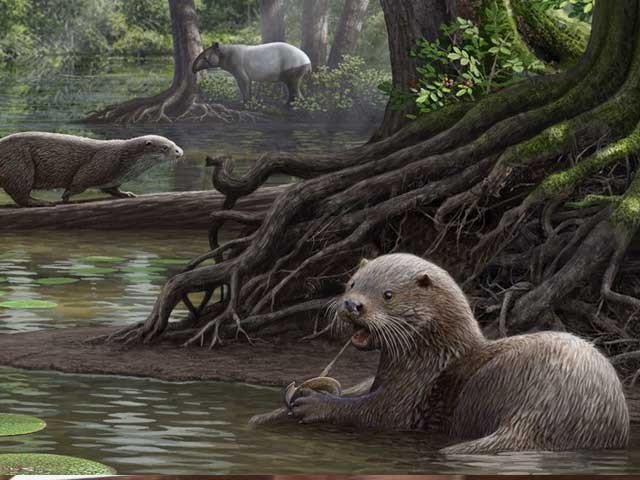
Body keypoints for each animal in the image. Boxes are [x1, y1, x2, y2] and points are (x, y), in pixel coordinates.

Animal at [0, 132, 184, 207]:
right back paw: (42, 202)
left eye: (174, 143)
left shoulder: (114, 178)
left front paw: (126, 194)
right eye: (165, 147)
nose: (180, 152)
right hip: (18, 164)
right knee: (20, 193)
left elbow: (112, 189)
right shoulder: (101, 163)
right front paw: (65, 197)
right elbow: (79, 180)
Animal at [290, 253, 629, 454]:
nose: (352, 304)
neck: (432, 356)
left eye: (388, 294)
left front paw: (313, 402)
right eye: (352, 283)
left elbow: (375, 414)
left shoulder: (411, 395)